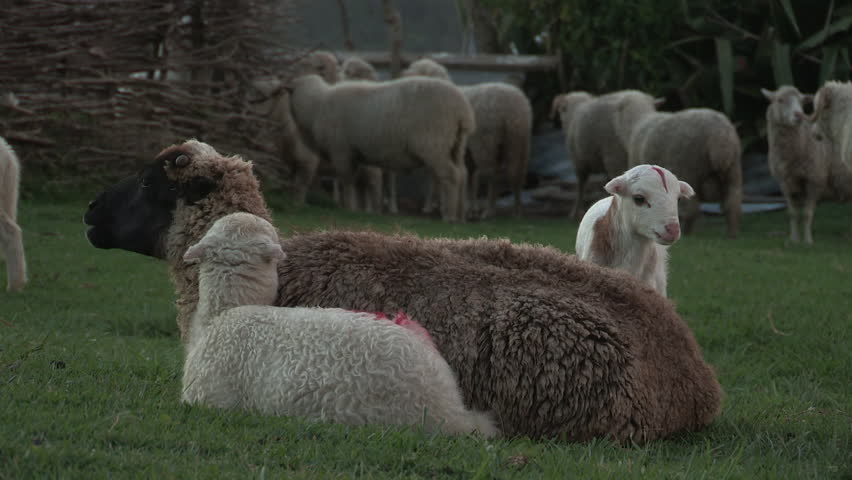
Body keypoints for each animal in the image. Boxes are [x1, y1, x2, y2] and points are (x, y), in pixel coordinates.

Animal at [288, 74, 474, 222]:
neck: (317, 106)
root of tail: (462, 110)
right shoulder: (357, 154)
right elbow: (360, 183)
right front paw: (359, 210)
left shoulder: (341, 151)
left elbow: (347, 181)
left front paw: (348, 208)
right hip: (456, 144)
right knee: (463, 174)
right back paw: (461, 216)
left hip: (434, 144)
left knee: (450, 175)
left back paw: (449, 216)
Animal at [402, 58, 532, 218]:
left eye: (415, 69)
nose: (402, 74)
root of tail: (514, 107)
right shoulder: (465, 154)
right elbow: (470, 179)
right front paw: (468, 208)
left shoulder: (438, 145)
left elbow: (437, 177)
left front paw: (432, 206)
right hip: (518, 141)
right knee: (517, 174)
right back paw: (517, 210)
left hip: (486, 142)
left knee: (493, 174)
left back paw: (489, 210)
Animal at [612, 91, 742, 238]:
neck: (638, 122)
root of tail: (721, 138)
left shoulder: (637, 163)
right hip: (733, 170)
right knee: (733, 203)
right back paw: (732, 234)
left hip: (689, 168)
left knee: (693, 208)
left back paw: (687, 233)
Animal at [761, 86, 828, 244]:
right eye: (780, 100)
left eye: (802, 102)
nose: (798, 115)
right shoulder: (786, 182)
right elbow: (793, 213)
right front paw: (794, 240)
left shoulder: (815, 179)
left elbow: (807, 213)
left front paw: (808, 241)